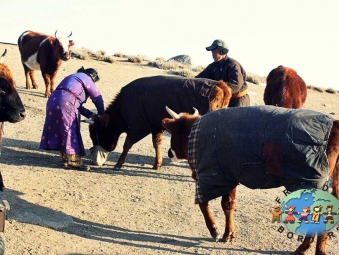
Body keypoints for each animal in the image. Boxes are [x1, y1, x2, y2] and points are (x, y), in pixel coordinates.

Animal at [162, 105, 339, 255]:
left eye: (173, 133)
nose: (169, 153)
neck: (197, 133)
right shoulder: (229, 175)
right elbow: (228, 205)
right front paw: (229, 234)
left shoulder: (211, 176)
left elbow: (203, 204)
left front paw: (215, 231)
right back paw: (311, 249)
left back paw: (307, 249)